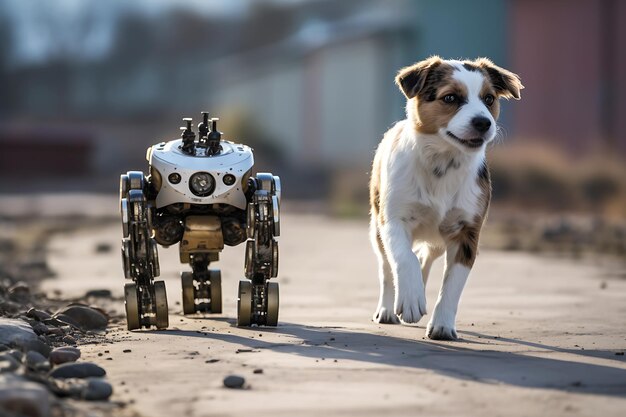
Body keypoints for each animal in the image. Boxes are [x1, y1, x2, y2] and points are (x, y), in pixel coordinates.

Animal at [368, 57, 520, 340]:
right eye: (450, 97)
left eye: (489, 99)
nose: (483, 122)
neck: (443, 162)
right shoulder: (393, 219)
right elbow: (403, 258)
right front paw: (410, 299)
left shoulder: (467, 233)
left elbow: (453, 285)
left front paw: (442, 325)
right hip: (377, 228)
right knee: (387, 266)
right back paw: (387, 308)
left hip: (438, 239)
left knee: (424, 257)